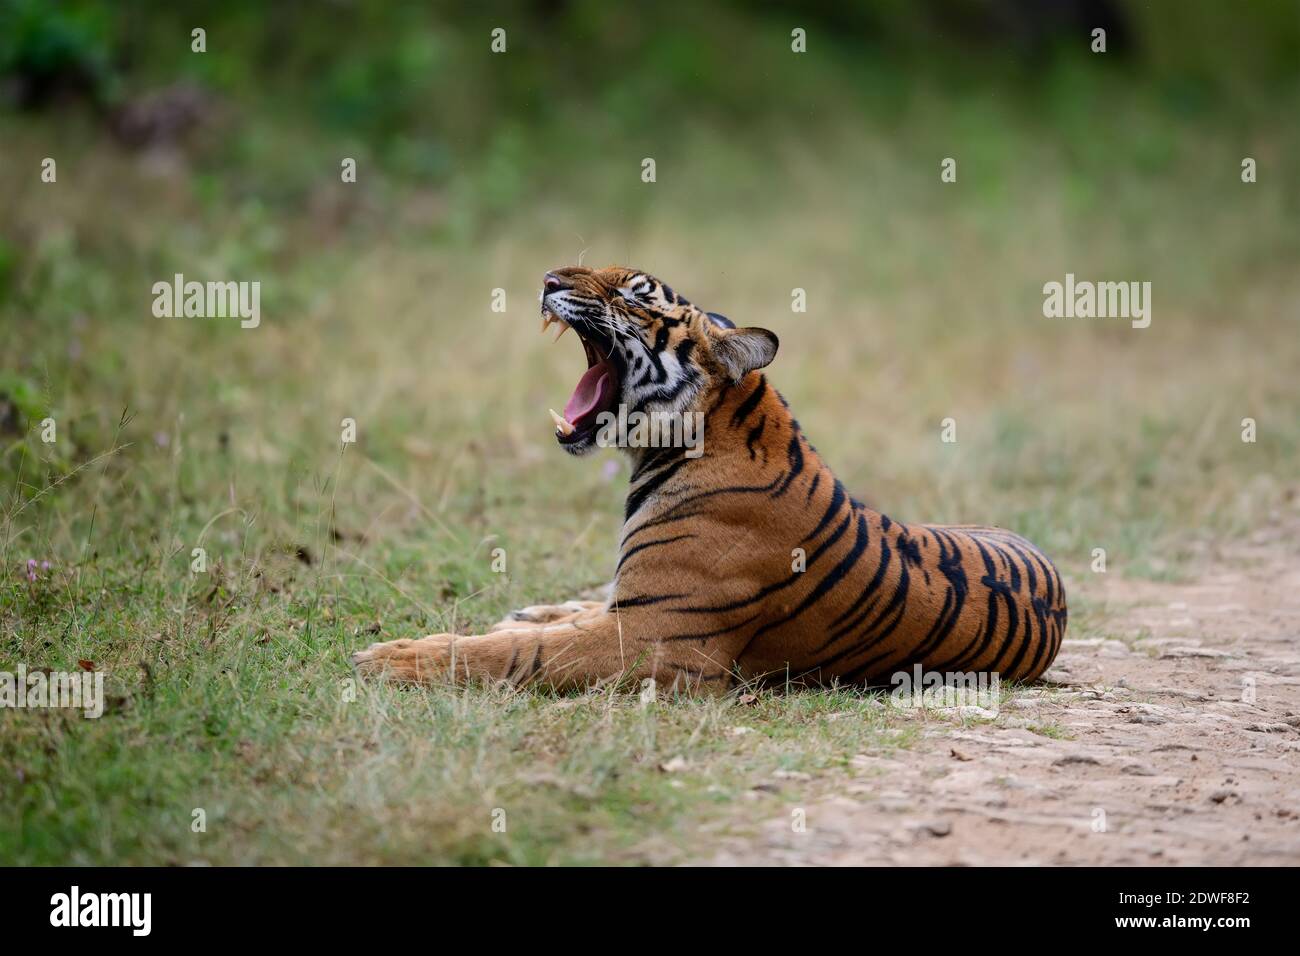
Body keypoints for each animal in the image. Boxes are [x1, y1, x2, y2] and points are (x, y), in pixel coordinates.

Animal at [352, 265, 1067, 693]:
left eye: (633, 292)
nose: (549, 276)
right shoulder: (637, 613)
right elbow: (535, 636)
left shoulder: (652, 638)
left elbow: (519, 654)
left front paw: (389, 658)